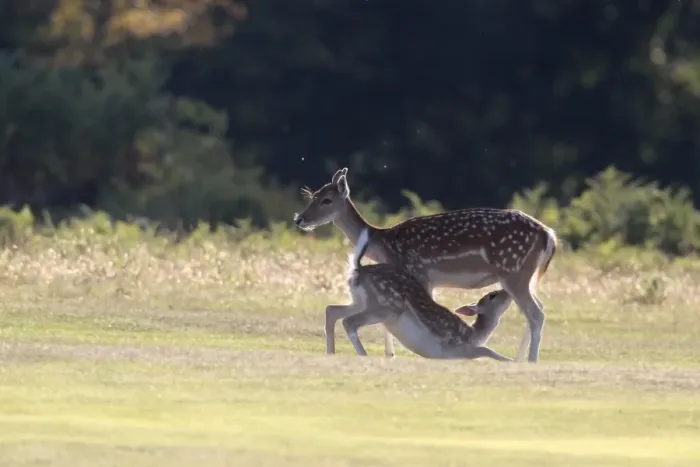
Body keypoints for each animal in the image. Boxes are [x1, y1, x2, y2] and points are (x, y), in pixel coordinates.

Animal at [326, 228, 513, 360]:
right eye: (492, 295)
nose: (507, 291)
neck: (473, 336)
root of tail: (358, 269)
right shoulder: (458, 349)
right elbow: (487, 350)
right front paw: (512, 361)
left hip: (360, 301)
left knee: (332, 310)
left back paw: (330, 353)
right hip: (386, 306)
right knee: (349, 321)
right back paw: (363, 355)